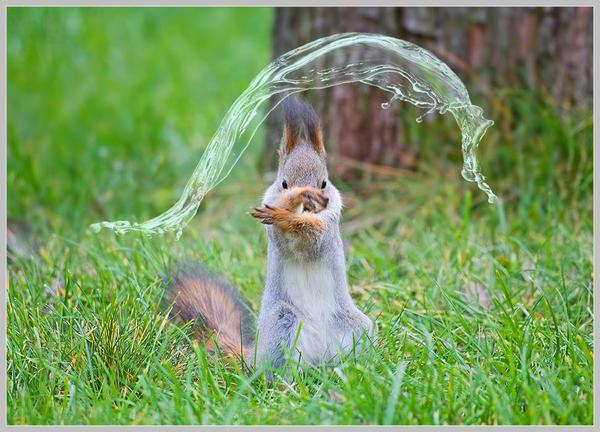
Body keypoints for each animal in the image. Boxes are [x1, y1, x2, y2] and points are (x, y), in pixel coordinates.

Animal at [166, 95, 372, 372]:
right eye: (283, 183)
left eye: (324, 183)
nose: (308, 205)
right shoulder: (274, 231)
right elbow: (284, 237)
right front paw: (289, 206)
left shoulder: (329, 227)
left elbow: (314, 238)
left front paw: (292, 217)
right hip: (282, 321)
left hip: (355, 328)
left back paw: (351, 369)